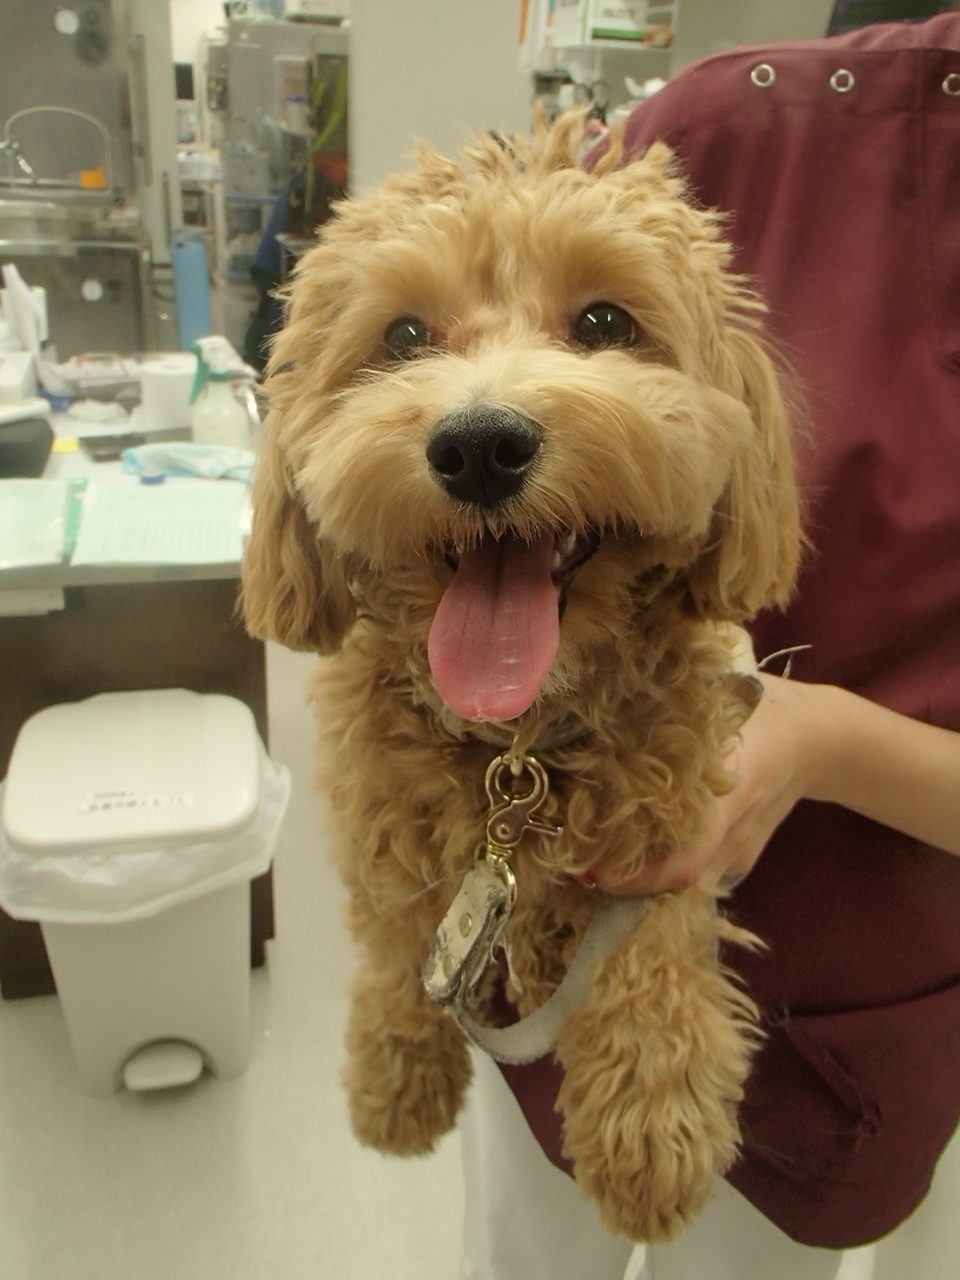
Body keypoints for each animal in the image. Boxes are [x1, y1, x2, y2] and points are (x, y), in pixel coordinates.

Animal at [242, 113, 802, 1242]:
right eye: (403, 336)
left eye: (604, 320)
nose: (480, 446)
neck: (516, 750)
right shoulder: (384, 826)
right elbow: (398, 939)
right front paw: (396, 1079)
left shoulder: (684, 811)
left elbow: (656, 939)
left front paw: (652, 1125)